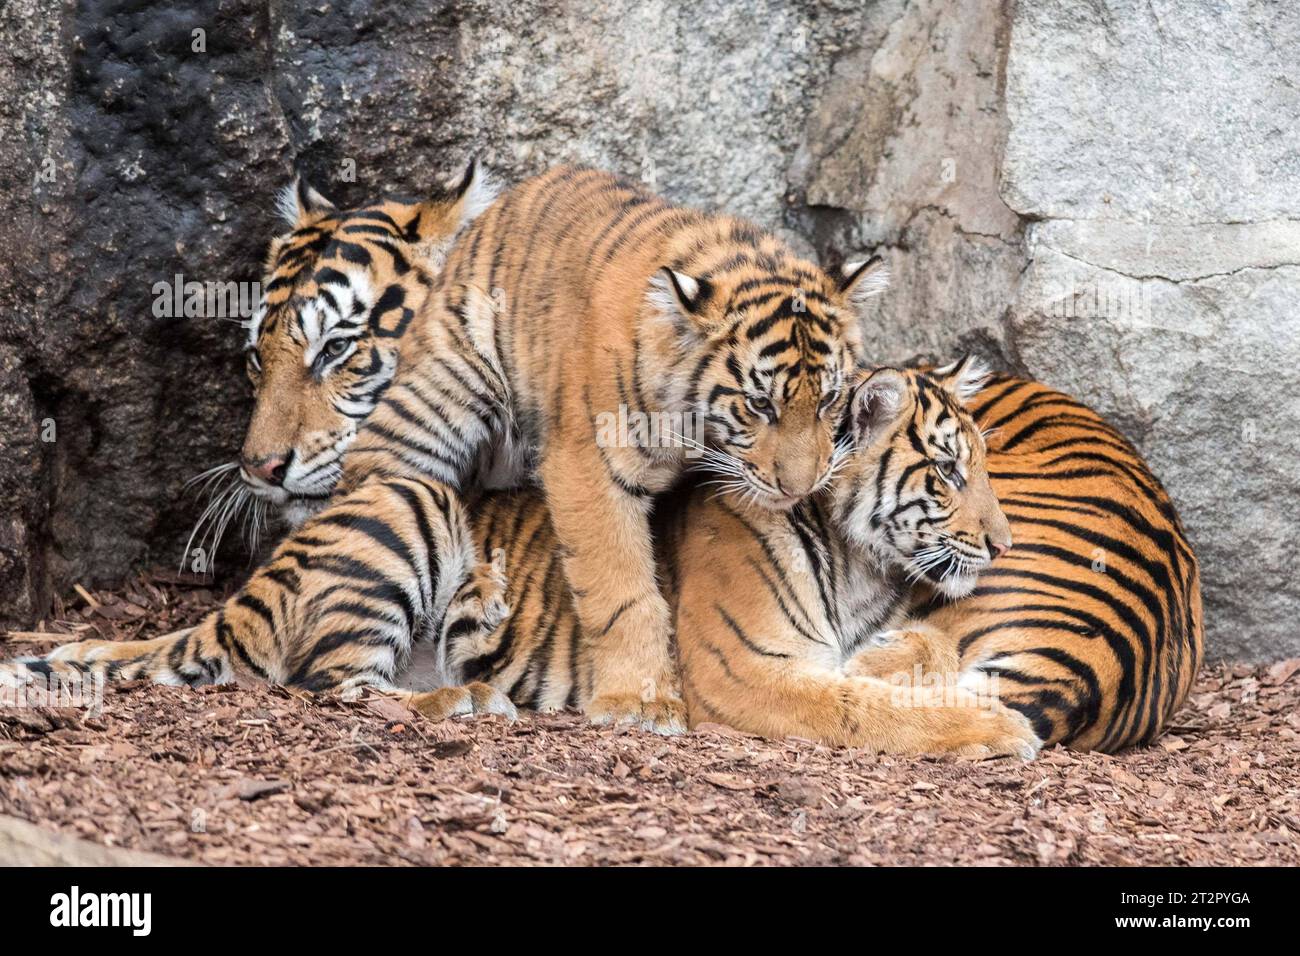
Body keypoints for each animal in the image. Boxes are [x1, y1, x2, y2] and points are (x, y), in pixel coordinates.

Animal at [431, 356, 1201, 749]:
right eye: (950, 471)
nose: (1001, 543)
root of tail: (1109, 651)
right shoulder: (742, 668)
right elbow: (859, 707)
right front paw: (986, 726)